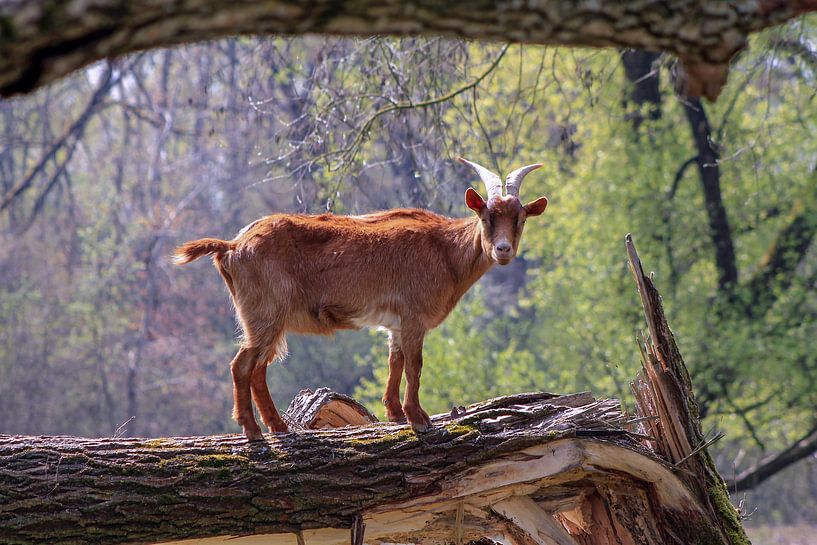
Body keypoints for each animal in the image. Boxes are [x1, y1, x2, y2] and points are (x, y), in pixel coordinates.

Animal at [173, 157, 548, 440]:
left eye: (520, 218)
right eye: (486, 216)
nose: (503, 250)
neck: (444, 250)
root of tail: (232, 246)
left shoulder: (396, 323)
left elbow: (395, 361)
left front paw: (395, 414)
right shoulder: (414, 315)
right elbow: (415, 365)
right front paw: (419, 419)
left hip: (266, 320)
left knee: (258, 368)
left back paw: (278, 427)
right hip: (265, 313)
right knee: (242, 365)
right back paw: (253, 431)